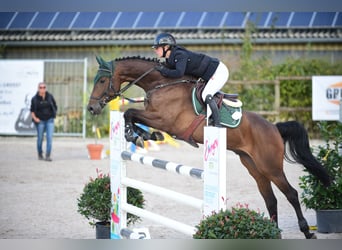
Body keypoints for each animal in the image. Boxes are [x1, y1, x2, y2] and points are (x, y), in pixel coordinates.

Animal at [87, 55, 332, 239]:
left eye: (101, 80)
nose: (91, 108)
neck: (161, 84)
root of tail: (274, 127)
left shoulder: (166, 120)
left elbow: (130, 112)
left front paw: (138, 135)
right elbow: (130, 114)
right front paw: (142, 135)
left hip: (271, 166)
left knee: (291, 194)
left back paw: (306, 231)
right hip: (254, 166)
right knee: (270, 199)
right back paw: (274, 233)